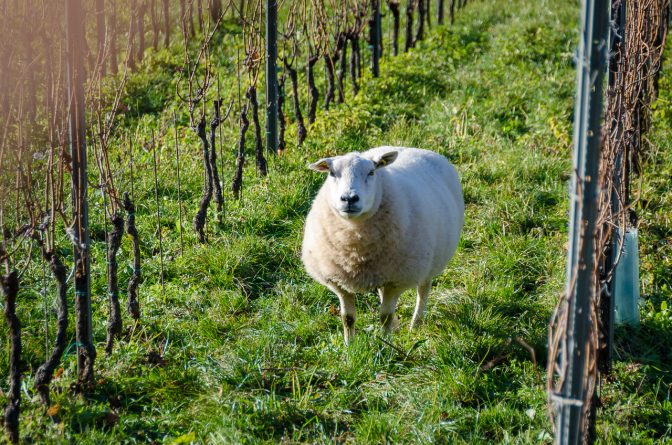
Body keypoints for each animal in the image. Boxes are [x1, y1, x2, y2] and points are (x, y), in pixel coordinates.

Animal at [302, 146, 464, 344]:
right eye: (332, 173)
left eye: (371, 172)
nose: (349, 198)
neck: (354, 248)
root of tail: (416, 148)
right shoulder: (339, 282)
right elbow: (347, 318)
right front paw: (349, 346)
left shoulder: (397, 280)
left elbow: (385, 316)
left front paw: (386, 344)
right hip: (383, 270)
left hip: (428, 262)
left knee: (423, 290)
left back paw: (416, 324)